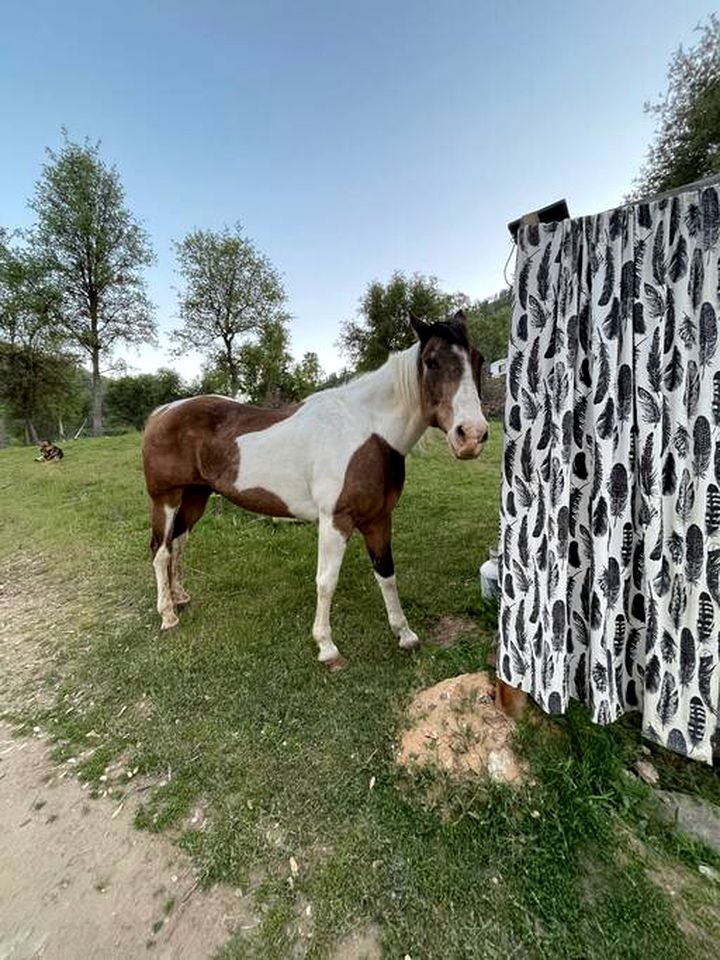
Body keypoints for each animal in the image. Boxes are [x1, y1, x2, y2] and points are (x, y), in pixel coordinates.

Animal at [141, 310, 490, 668]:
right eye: (432, 361)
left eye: (478, 359)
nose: (471, 435)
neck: (367, 432)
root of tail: (163, 412)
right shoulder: (336, 520)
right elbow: (326, 581)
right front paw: (327, 647)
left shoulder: (379, 519)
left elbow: (387, 574)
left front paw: (404, 634)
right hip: (166, 498)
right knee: (160, 550)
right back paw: (168, 614)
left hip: (195, 496)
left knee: (178, 542)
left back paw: (180, 596)